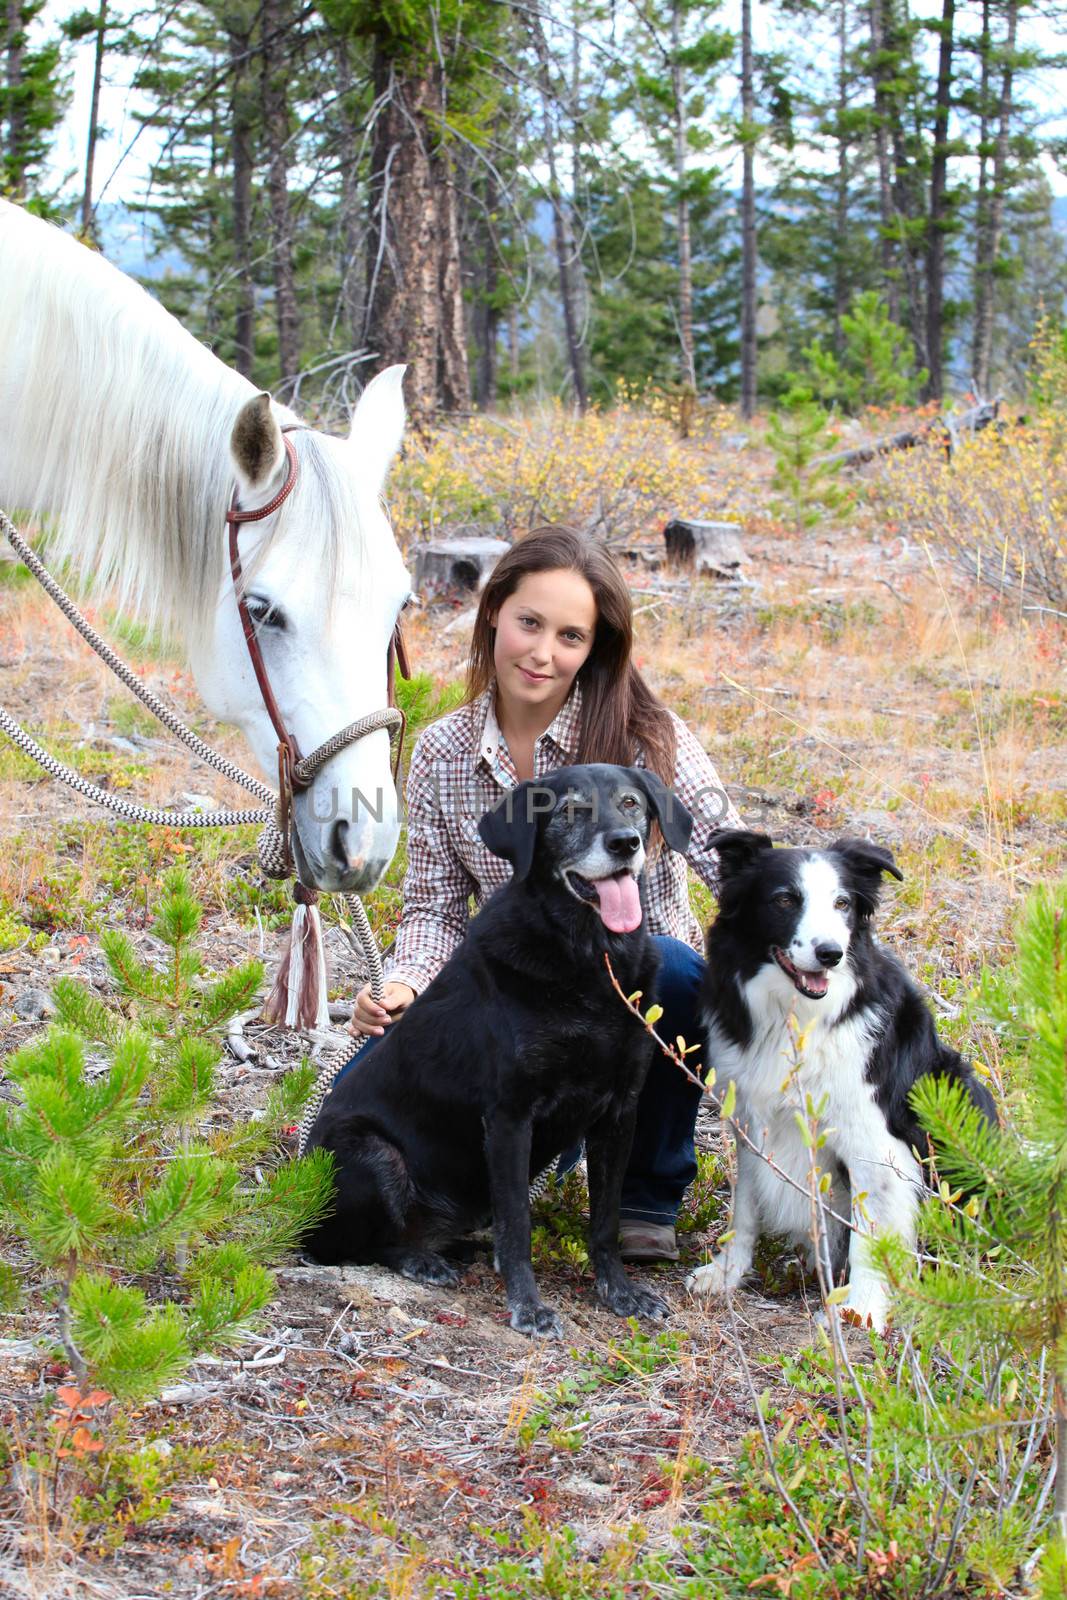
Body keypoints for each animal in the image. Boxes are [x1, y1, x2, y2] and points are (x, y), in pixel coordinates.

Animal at [303, 761, 697, 1337]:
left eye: (632, 804)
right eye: (570, 811)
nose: (626, 843)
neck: (587, 956)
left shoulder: (619, 1111)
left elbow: (604, 1221)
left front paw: (621, 1292)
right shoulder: (511, 1116)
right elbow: (517, 1225)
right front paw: (528, 1307)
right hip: (375, 1156)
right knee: (360, 1246)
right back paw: (422, 1261)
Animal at [687, 832, 998, 1331]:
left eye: (842, 903)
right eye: (785, 899)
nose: (830, 953)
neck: (796, 1016)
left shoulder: (875, 1144)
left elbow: (871, 1235)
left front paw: (862, 1308)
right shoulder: (753, 1121)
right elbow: (745, 1207)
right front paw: (727, 1272)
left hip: (963, 1098)